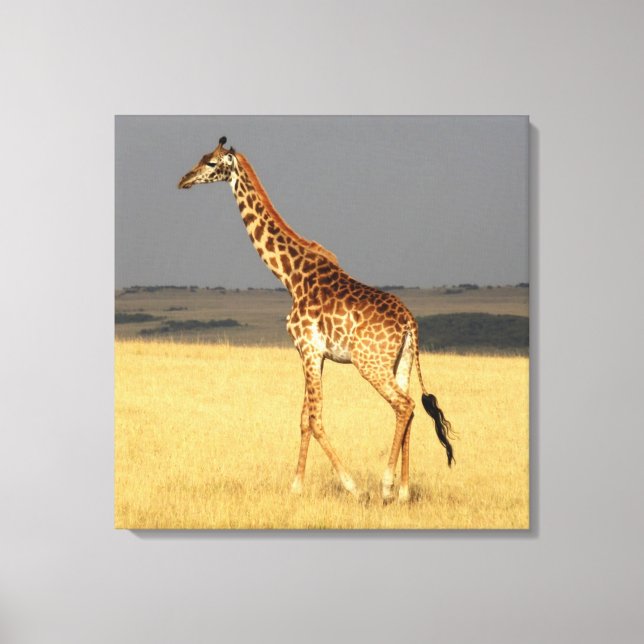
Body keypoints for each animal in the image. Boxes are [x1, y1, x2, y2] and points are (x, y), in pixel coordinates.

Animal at [178, 136, 454, 503]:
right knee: (408, 411)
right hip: (402, 363)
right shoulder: (312, 353)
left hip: (371, 363)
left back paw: (385, 487)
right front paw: (295, 486)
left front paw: (352, 486)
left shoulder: (308, 348)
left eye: (211, 163)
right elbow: (303, 418)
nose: (183, 180)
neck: (290, 275)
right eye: (201, 157)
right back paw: (404, 492)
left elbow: (315, 417)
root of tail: (410, 323)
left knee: (404, 405)